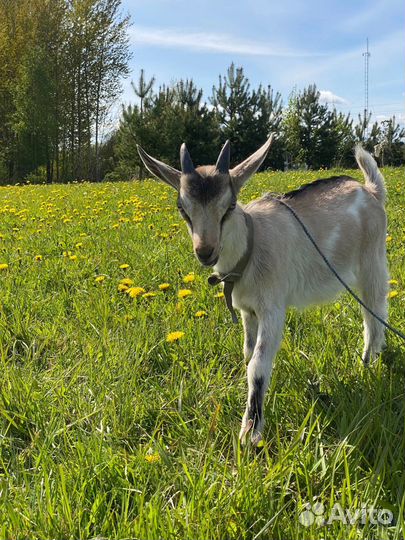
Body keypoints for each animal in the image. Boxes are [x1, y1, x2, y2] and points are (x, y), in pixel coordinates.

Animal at [137, 138, 388, 448]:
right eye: (182, 208)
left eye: (230, 205)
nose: (205, 251)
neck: (251, 246)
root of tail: (371, 192)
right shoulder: (248, 310)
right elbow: (247, 354)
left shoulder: (273, 309)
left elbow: (257, 365)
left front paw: (250, 432)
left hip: (372, 263)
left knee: (374, 314)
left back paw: (368, 364)